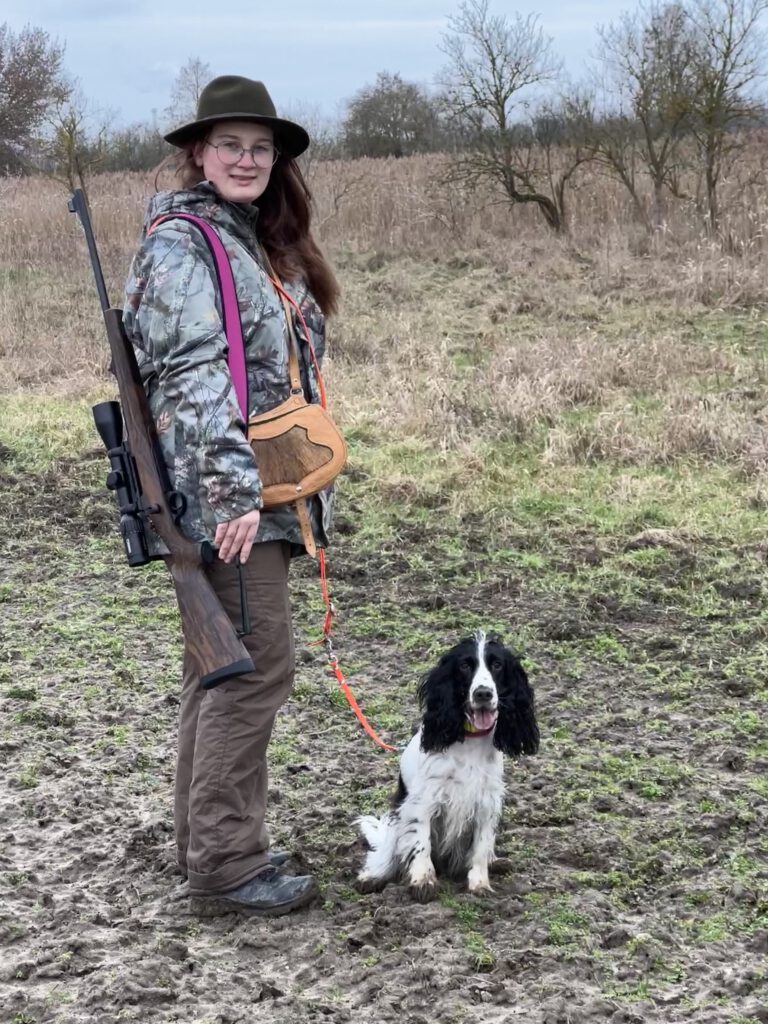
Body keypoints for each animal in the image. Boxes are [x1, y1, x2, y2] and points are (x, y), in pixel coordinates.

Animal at [356, 630, 539, 900]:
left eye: (497, 665)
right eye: (464, 666)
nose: (483, 693)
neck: (470, 741)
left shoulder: (487, 802)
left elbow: (481, 846)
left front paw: (480, 884)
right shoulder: (424, 800)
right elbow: (420, 842)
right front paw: (423, 882)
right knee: (387, 853)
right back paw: (373, 876)